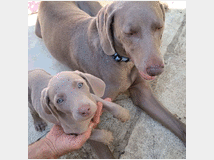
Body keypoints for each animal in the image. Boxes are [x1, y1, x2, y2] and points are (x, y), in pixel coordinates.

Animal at [35, 0, 186, 159]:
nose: (156, 70)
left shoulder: (143, 93)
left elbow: (177, 124)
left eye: (159, 27)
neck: (120, 60)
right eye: (129, 33)